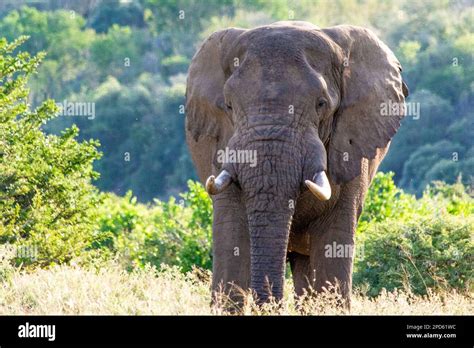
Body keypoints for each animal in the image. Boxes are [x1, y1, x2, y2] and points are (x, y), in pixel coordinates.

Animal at [184, 21, 408, 308]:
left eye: (321, 104)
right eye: (229, 106)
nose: (270, 307)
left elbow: (334, 240)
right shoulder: (222, 144)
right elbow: (231, 236)